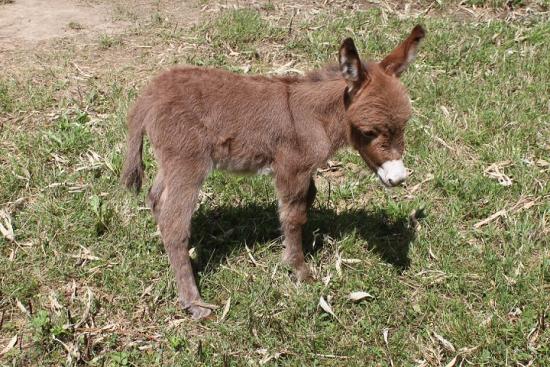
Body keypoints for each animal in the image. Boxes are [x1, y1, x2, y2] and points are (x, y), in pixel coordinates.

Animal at [123, 25, 426, 320]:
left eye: (404, 126)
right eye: (369, 132)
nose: (398, 178)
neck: (316, 116)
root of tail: (150, 94)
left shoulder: (302, 170)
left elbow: (307, 200)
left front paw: (302, 247)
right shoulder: (292, 169)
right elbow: (294, 216)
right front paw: (300, 270)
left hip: (170, 163)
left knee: (156, 199)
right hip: (188, 163)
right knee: (174, 224)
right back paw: (194, 303)